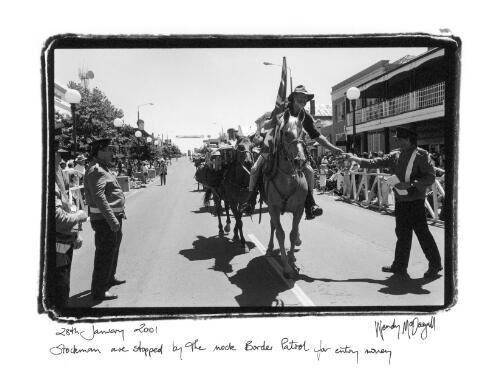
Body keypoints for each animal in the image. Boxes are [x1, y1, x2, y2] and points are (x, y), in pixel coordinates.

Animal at [262, 113, 308, 278]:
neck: (287, 178)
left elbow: (293, 234)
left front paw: (292, 259)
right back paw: (269, 249)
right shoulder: (273, 208)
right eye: (286, 134)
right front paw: (286, 267)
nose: (300, 161)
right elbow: (280, 233)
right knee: (273, 226)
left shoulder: (299, 209)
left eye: (304, 134)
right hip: (270, 208)